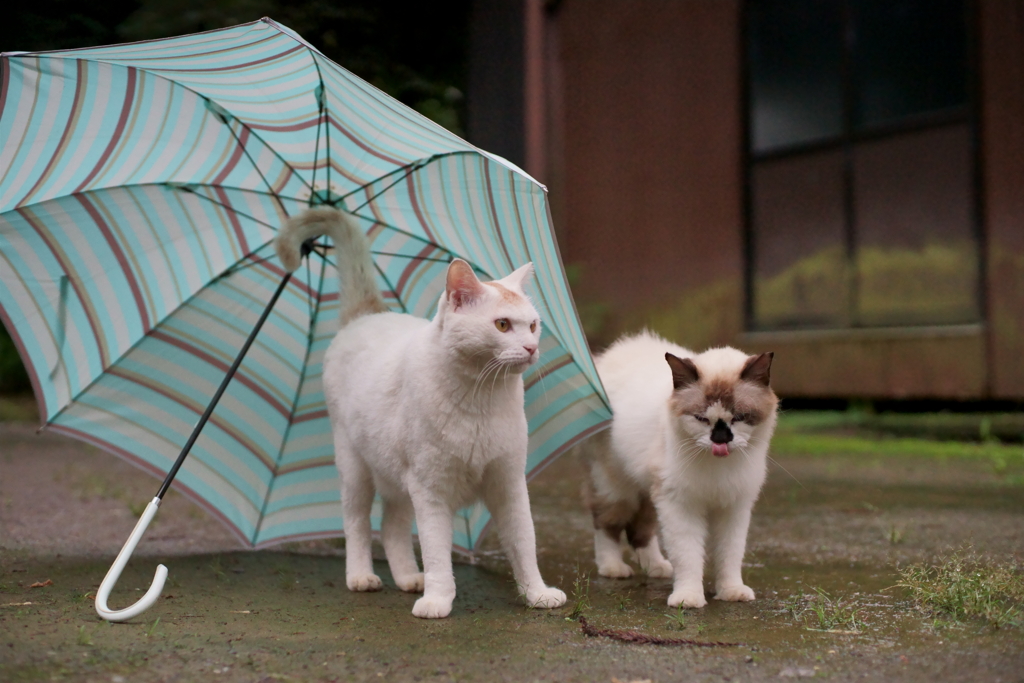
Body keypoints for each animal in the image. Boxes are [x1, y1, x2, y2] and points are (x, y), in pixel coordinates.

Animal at [274, 206, 569, 618]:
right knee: (358, 524)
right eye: (502, 325)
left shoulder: (508, 483)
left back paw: (408, 578)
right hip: (356, 470)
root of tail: (368, 315)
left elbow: (524, 543)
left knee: (391, 526)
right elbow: (437, 552)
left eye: (534, 325)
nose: (531, 348)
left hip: (397, 476)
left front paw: (536, 594)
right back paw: (362, 577)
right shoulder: (431, 490)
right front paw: (438, 600)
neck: (481, 399)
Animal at [585, 331, 774, 610]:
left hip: (648, 491)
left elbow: (729, 555)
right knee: (606, 524)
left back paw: (657, 567)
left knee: (641, 530)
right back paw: (613, 568)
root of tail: (609, 356)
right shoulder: (680, 506)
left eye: (738, 418)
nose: (720, 440)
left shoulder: (733, 508)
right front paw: (688, 598)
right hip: (618, 488)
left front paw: (731, 591)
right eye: (702, 419)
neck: (716, 467)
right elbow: (688, 556)